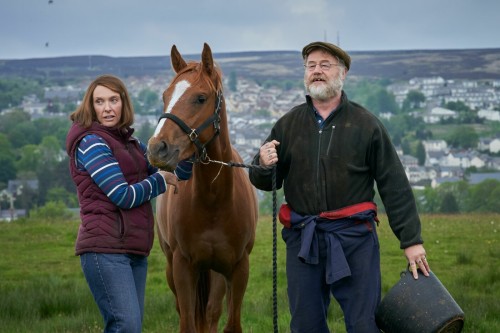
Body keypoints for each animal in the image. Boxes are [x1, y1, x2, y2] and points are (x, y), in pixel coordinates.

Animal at [146, 42, 258, 330]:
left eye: (200, 98)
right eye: (165, 96)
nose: (157, 148)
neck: (214, 200)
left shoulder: (238, 269)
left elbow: (229, 323)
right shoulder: (183, 267)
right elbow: (187, 323)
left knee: (211, 313)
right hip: (173, 266)